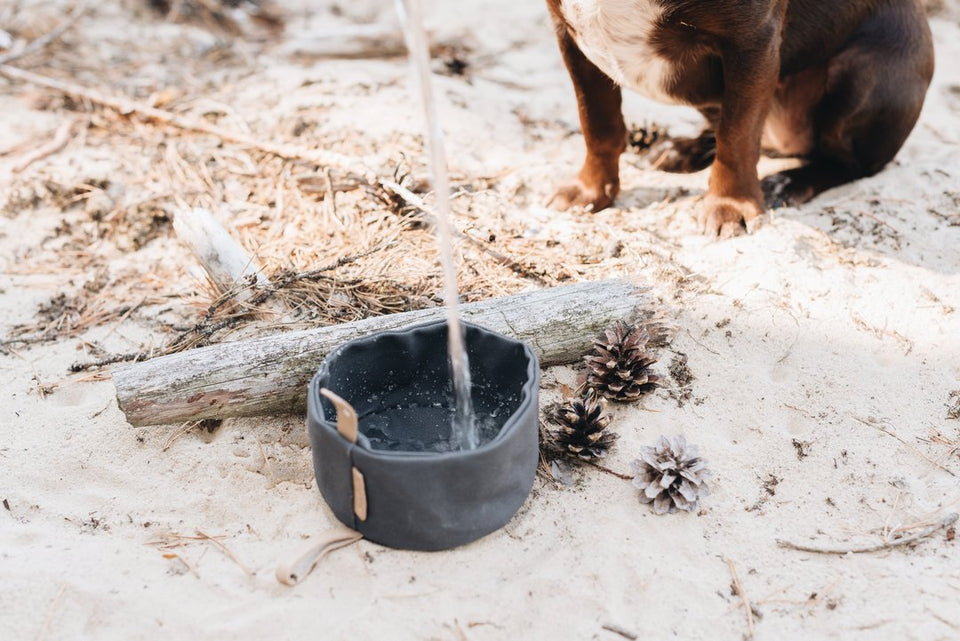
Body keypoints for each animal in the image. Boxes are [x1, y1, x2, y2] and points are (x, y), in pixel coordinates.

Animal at [552, 0, 932, 235]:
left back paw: (788, 182)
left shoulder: (752, 42)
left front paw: (729, 205)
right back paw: (680, 151)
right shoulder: (570, 35)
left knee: (849, 163)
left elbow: (738, 137)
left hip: (863, 73)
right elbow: (597, 123)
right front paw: (591, 190)